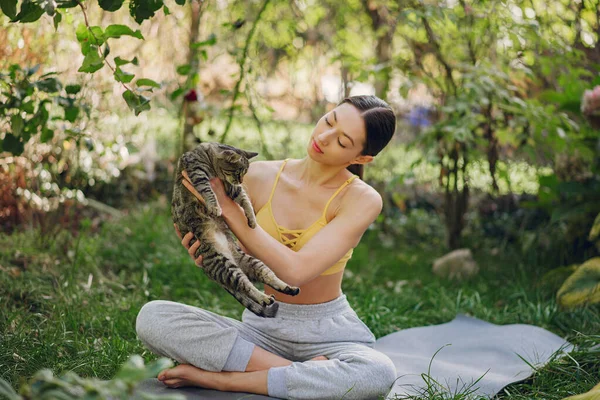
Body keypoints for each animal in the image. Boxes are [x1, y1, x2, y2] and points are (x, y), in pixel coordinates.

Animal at [170, 142, 300, 318]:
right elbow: (208, 190)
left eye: (245, 173)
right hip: (224, 265)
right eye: (239, 172)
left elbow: (244, 198)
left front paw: (252, 220)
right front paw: (215, 207)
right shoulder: (197, 172)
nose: (241, 180)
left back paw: (288, 289)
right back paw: (265, 298)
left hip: (251, 262)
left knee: (263, 277)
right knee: (246, 286)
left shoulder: (230, 188)